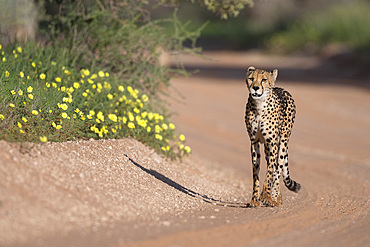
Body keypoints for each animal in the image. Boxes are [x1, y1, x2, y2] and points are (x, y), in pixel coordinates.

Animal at [246, 66, 300, 206]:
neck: (259, 105)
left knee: (278, 169)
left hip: (282, 143)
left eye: (264, 80)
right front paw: (254, 199)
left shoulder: (272, 142)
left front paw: (266, 196)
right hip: (266, 147)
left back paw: (275, 198)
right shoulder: (254, 142)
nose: (255, 88)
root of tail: (283, 89)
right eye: (251, 78)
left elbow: (270, 172)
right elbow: (256, 173)